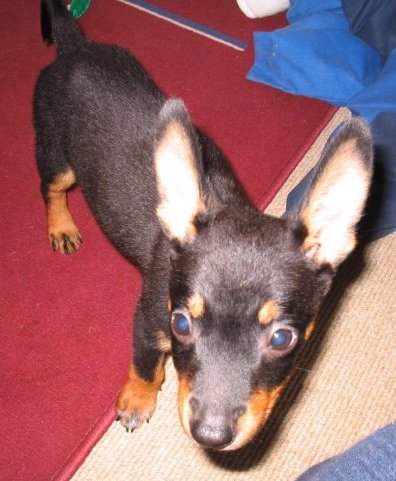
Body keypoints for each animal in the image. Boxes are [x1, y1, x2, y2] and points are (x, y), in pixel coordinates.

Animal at [34, 0, 374, 450]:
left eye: (282, 339)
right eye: (181, 323)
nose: (210, 435)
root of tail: (73, 47)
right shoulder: (148, 318)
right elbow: (145, 363)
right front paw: (137, 400)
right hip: (56, 155)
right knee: (52, 188)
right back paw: (61, 226)